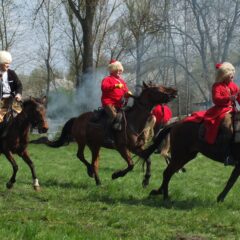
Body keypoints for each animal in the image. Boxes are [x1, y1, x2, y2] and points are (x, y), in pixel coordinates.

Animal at [45, 82, 177, 186]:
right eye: (158, 89)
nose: (174, 91)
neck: (133, 121)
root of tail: (77, 118)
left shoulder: (135, 148)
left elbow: (148, 160)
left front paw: (146, 180)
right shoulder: (122, 148)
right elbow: (131, 164)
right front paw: (116, 175)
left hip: (95, 145)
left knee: (95, 162)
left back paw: (98, 181)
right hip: (82, 141)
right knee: (80, 156)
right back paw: (90, 171)